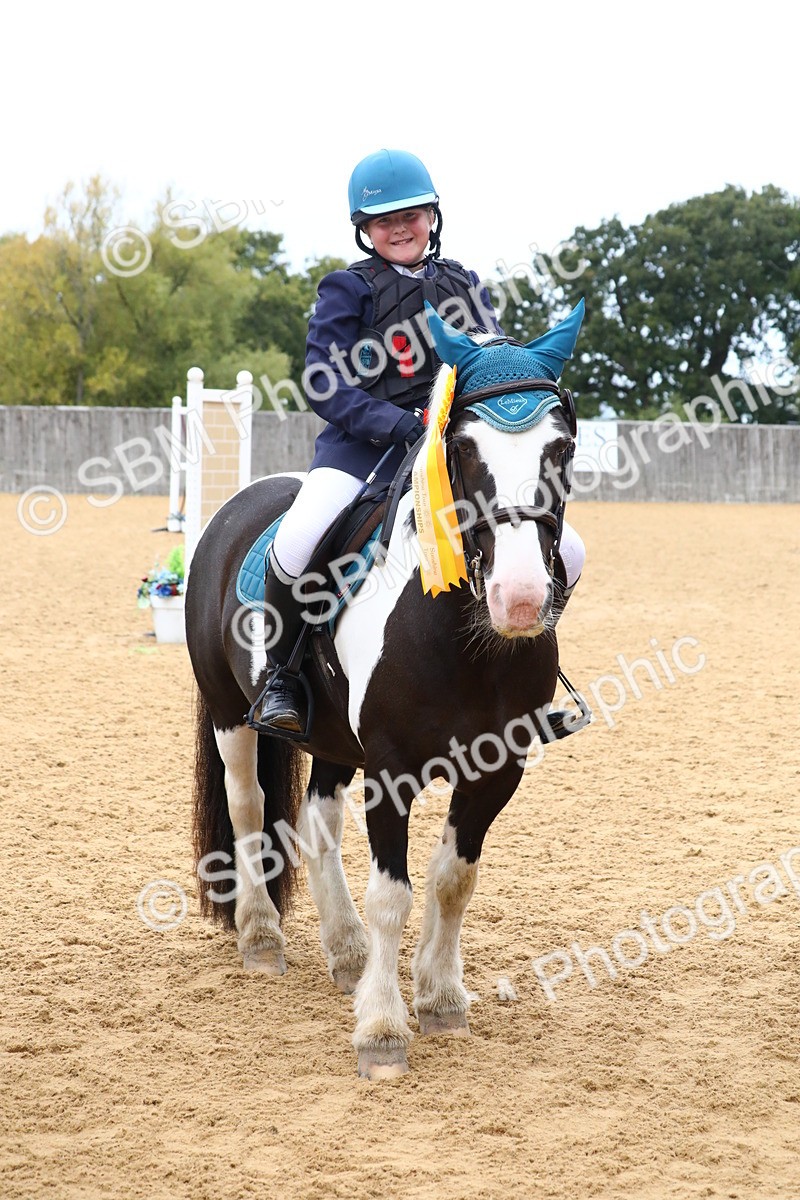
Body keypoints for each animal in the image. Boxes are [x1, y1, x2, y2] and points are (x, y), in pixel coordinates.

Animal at [186, 300, 587, 1080]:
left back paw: (343, 951)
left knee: (314, 820)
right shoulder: (393, 769)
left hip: (331, 739)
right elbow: (392, 894)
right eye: (462, 448)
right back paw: (261, 937)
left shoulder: (498, 769)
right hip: (229, 714)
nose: (521, 600)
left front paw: (440, 1000)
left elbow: (451, 880)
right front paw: (381, 1030)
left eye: (563, 447)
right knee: (249, 805)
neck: (466, 641)